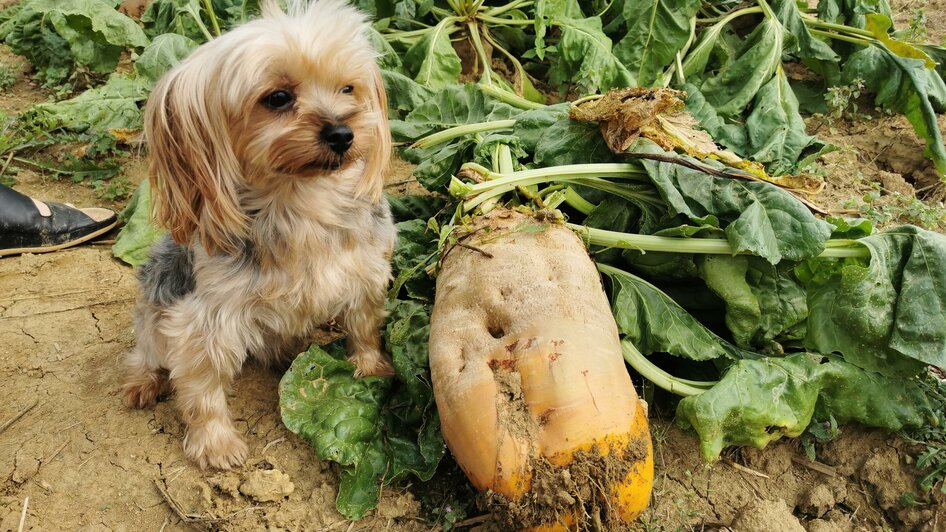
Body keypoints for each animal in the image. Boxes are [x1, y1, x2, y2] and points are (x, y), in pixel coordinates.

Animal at [121, 1, 394, 470]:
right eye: (278, 98)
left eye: (348, 89)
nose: (344, 134)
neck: (300, 201)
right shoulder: (206, 317)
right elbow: (202, 387)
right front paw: (216, 443)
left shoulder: (366, 276)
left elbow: (364, 328)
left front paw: (372, 369)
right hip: (158, 298)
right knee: (147, 348)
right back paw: (143, 380)